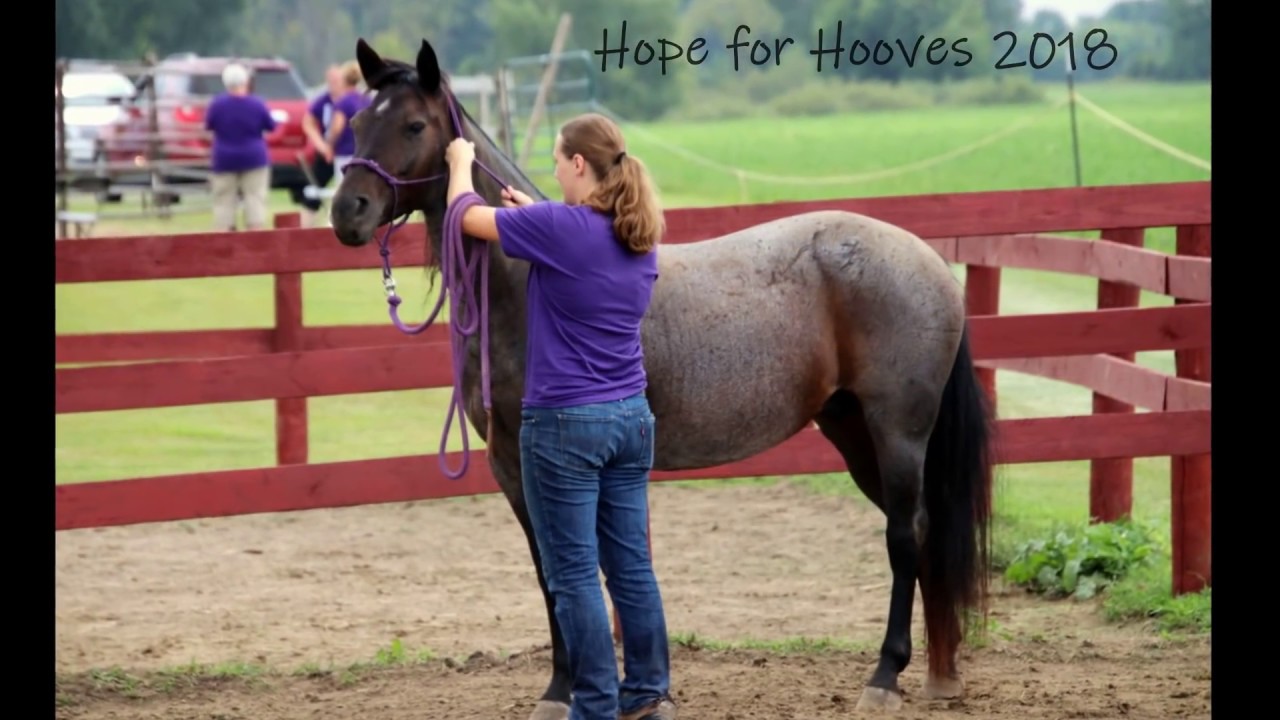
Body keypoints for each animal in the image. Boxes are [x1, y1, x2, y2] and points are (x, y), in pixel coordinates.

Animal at [329, 37, 996, 719]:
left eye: (414, 125)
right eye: (356, 124)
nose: (348, 212)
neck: (520, 286)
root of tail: (929, 261)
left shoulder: (543, 460)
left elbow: (565, 572)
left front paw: (566, 690)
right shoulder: (512, 466)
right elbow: (553, 570)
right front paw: (572, 687)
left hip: (898, 433)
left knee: (906, 535)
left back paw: (885, 677)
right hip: (853, 431)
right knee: (923, 535)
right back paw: (940, 673)